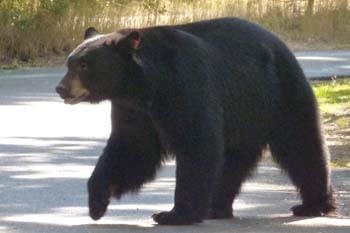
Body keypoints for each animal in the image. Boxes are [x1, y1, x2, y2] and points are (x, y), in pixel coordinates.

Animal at [56, 17, 336, 225]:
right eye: (70, 63)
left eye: (83, 65)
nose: (61, 88)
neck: (145, 86)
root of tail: (280, 43)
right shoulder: (133, 108)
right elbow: (131, 148)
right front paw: (97, 203)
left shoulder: (185, 85)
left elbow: (196, 143)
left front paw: (173, 214)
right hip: (245, 113)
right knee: (233, 161)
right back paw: (217, 207)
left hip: (280, 93)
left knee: (300, 144)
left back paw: (313, 204)